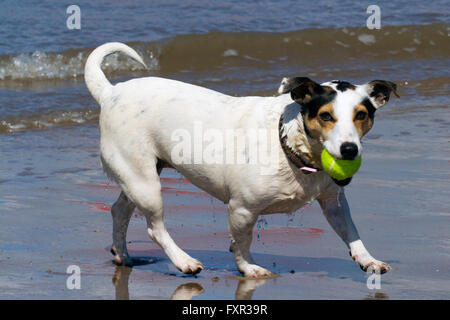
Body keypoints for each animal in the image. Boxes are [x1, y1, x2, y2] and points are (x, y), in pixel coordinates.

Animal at [84, 42, 398, 278]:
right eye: (325, 116)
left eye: (361, 115)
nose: (349, 150)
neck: (289, 145)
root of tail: (111, 92)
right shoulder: (242, 209)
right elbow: (241, 242)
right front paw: (249, 268)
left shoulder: (333, 201)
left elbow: (351, 231)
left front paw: (367, 259)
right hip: (145, 183)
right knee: (154, 227)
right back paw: (184, 261)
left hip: (137, 177)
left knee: (119, 211)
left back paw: (123, 256)